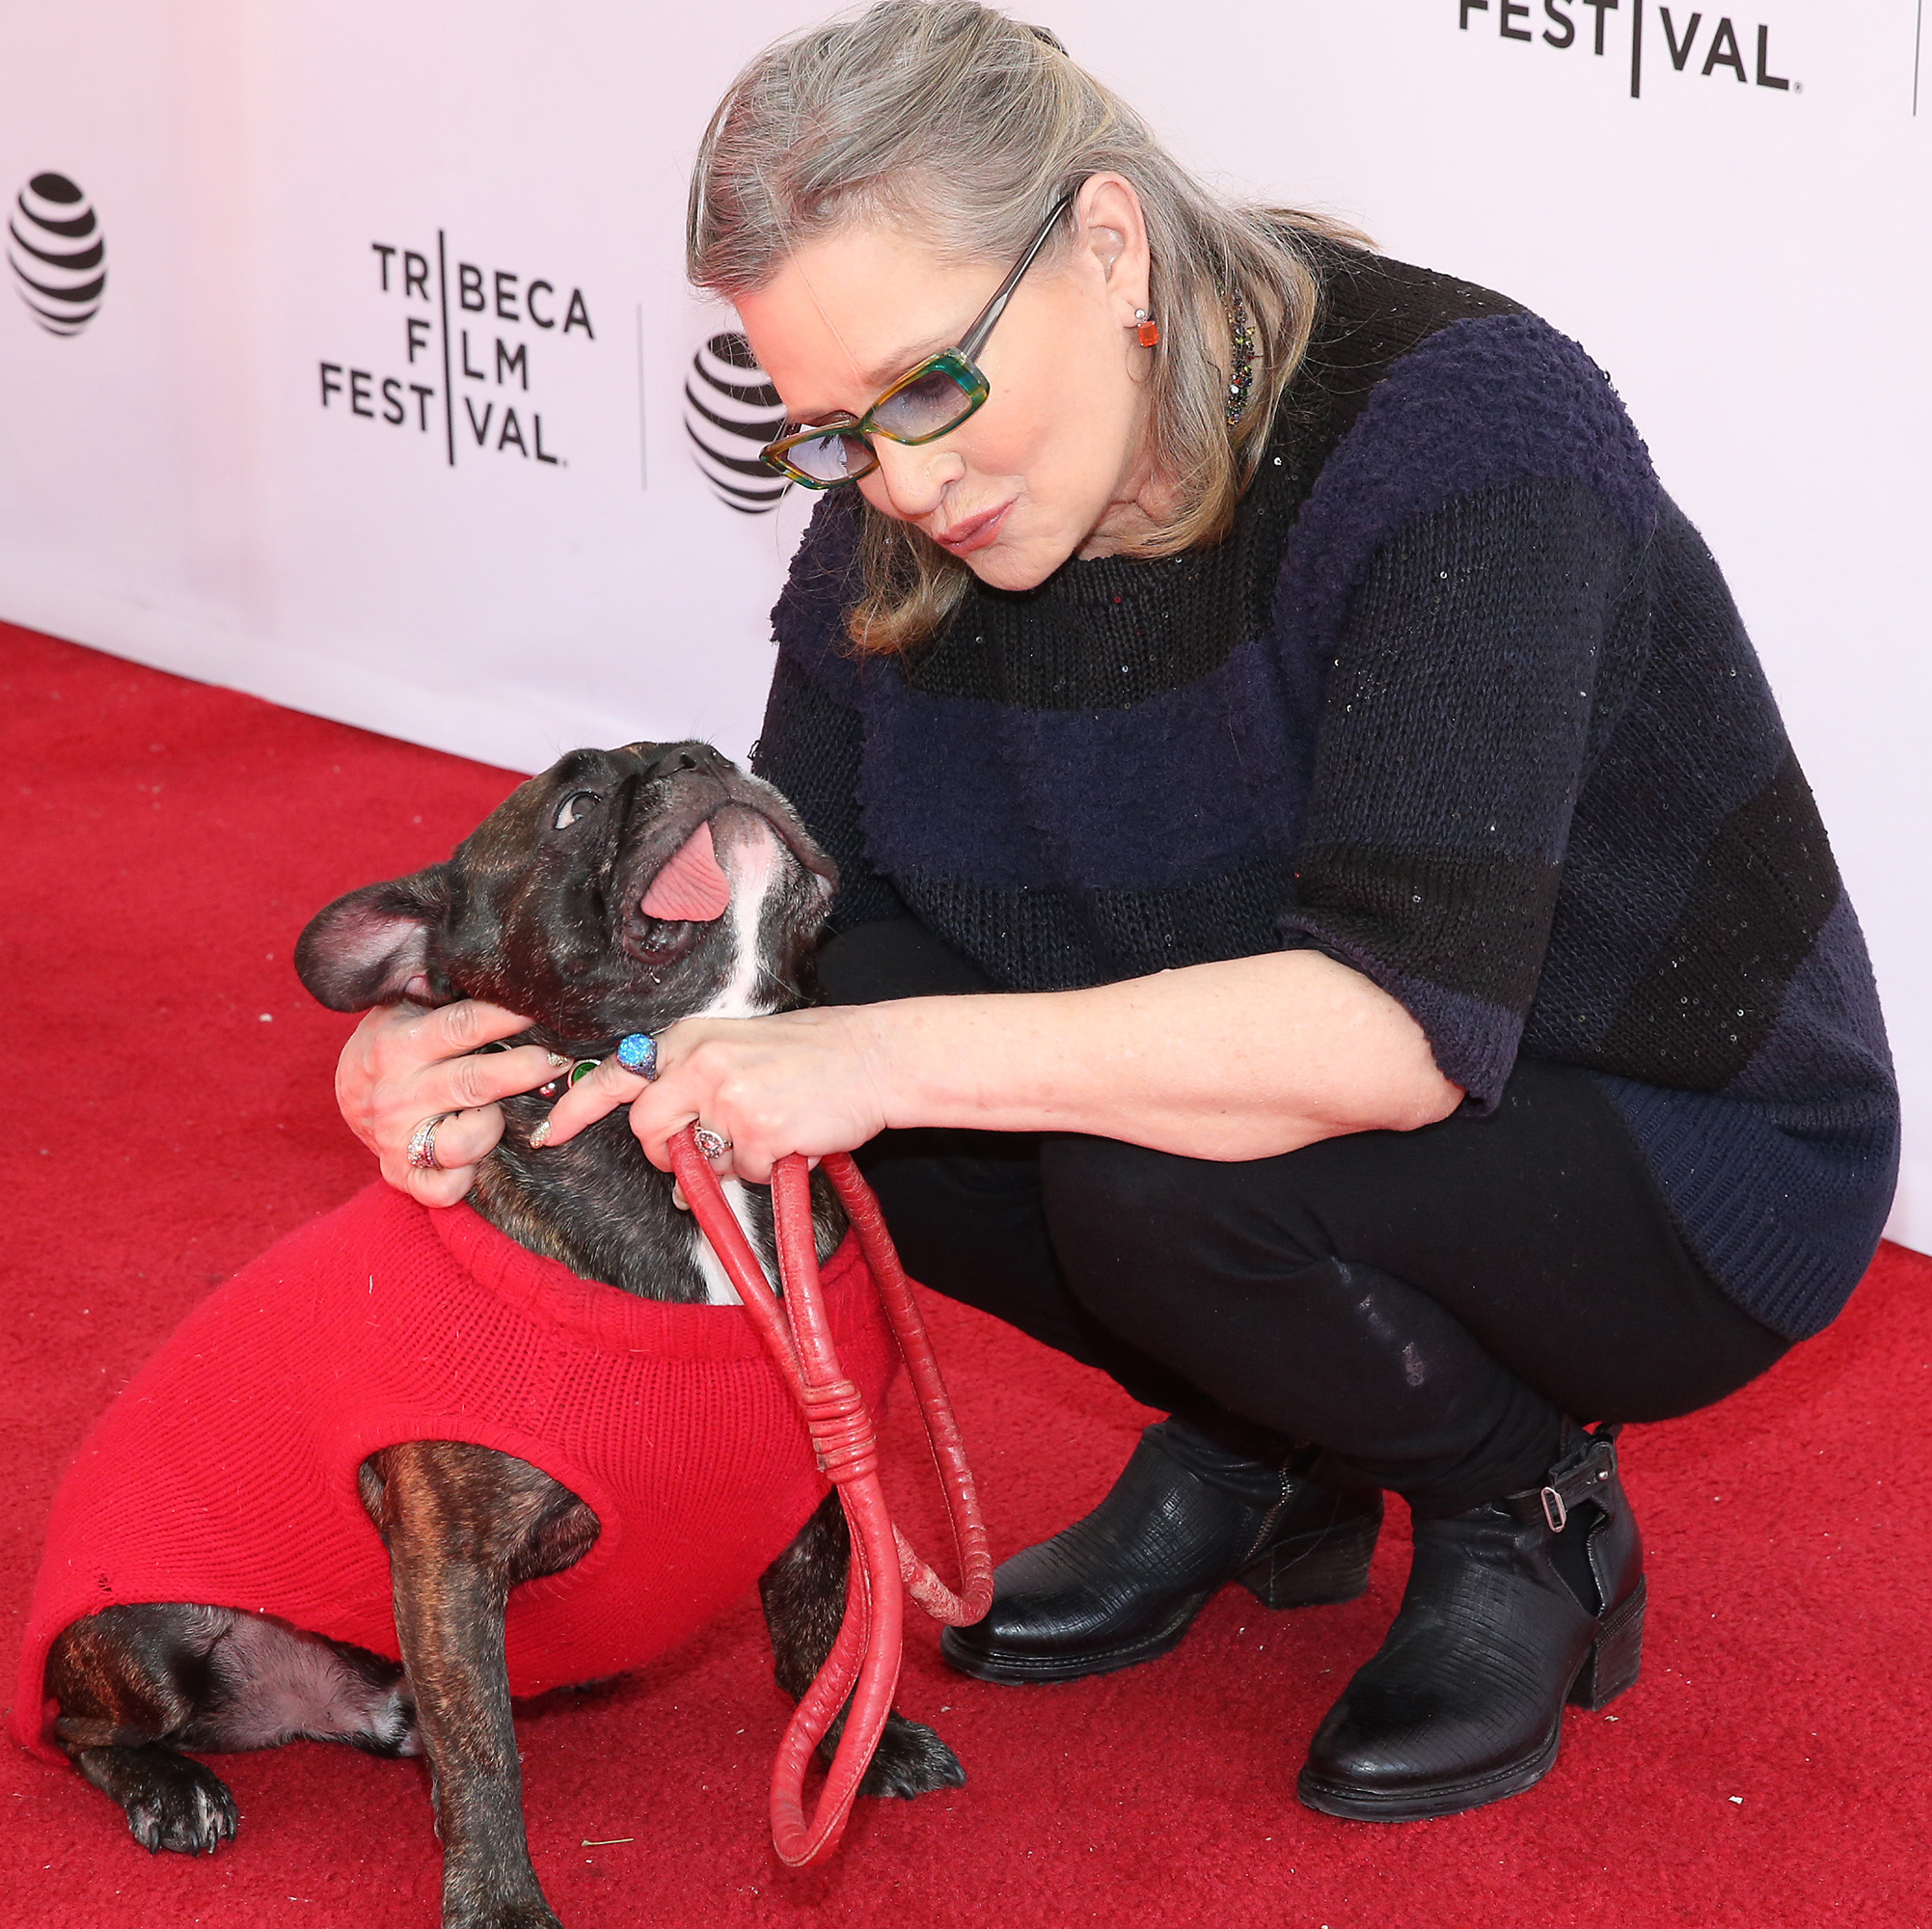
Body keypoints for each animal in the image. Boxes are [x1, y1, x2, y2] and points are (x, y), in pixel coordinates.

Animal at [38, 741, 958, 1929]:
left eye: (732, 748)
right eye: (573, 807)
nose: (705, 756)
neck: (676, 1151)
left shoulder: (818, 1492)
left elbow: (825, 1635)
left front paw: (860, 1748)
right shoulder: (451, 1563)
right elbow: (483, 1753)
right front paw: (499, 1900)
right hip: (148, 1626)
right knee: (80, 1729)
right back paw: (171, 1788)